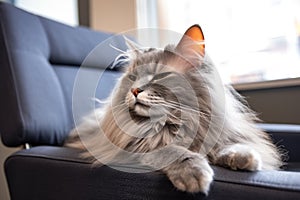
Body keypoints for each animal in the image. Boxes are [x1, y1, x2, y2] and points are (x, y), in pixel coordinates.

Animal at [64, 24, 282, 194]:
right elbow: (174, 151)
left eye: (159, 76)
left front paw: (243, 158)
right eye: (133, 78)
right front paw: (195, 172)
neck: (178, 121)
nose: (134, 90)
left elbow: (231, 145)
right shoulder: (132, 148)